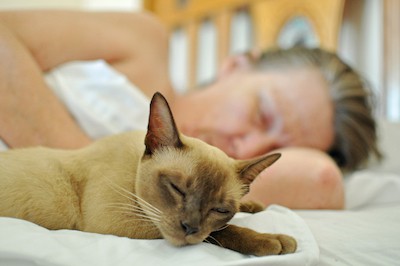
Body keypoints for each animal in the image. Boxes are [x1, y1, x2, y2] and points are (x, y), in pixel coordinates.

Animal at [0, 92, 296, 256]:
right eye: (176, 188)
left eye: (220, 209)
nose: (190, 228)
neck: (134, 167)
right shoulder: (114, 220)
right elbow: (219, 233)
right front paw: (275, 241)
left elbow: (222, 226)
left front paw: (255, 205)